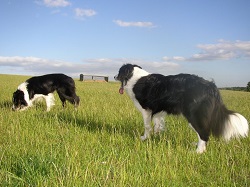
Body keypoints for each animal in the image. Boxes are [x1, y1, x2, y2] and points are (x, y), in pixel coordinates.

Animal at [114, 63, 248, 153]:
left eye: (119, 71)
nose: (114, 76)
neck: (134, 76)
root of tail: (211, 86)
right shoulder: (158, 111)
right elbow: (157, 125)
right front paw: (156, 137)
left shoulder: (146, 110)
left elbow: (147, 126)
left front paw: (144, 138)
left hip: (194, 115)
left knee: (204, 133)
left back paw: (198, 152)